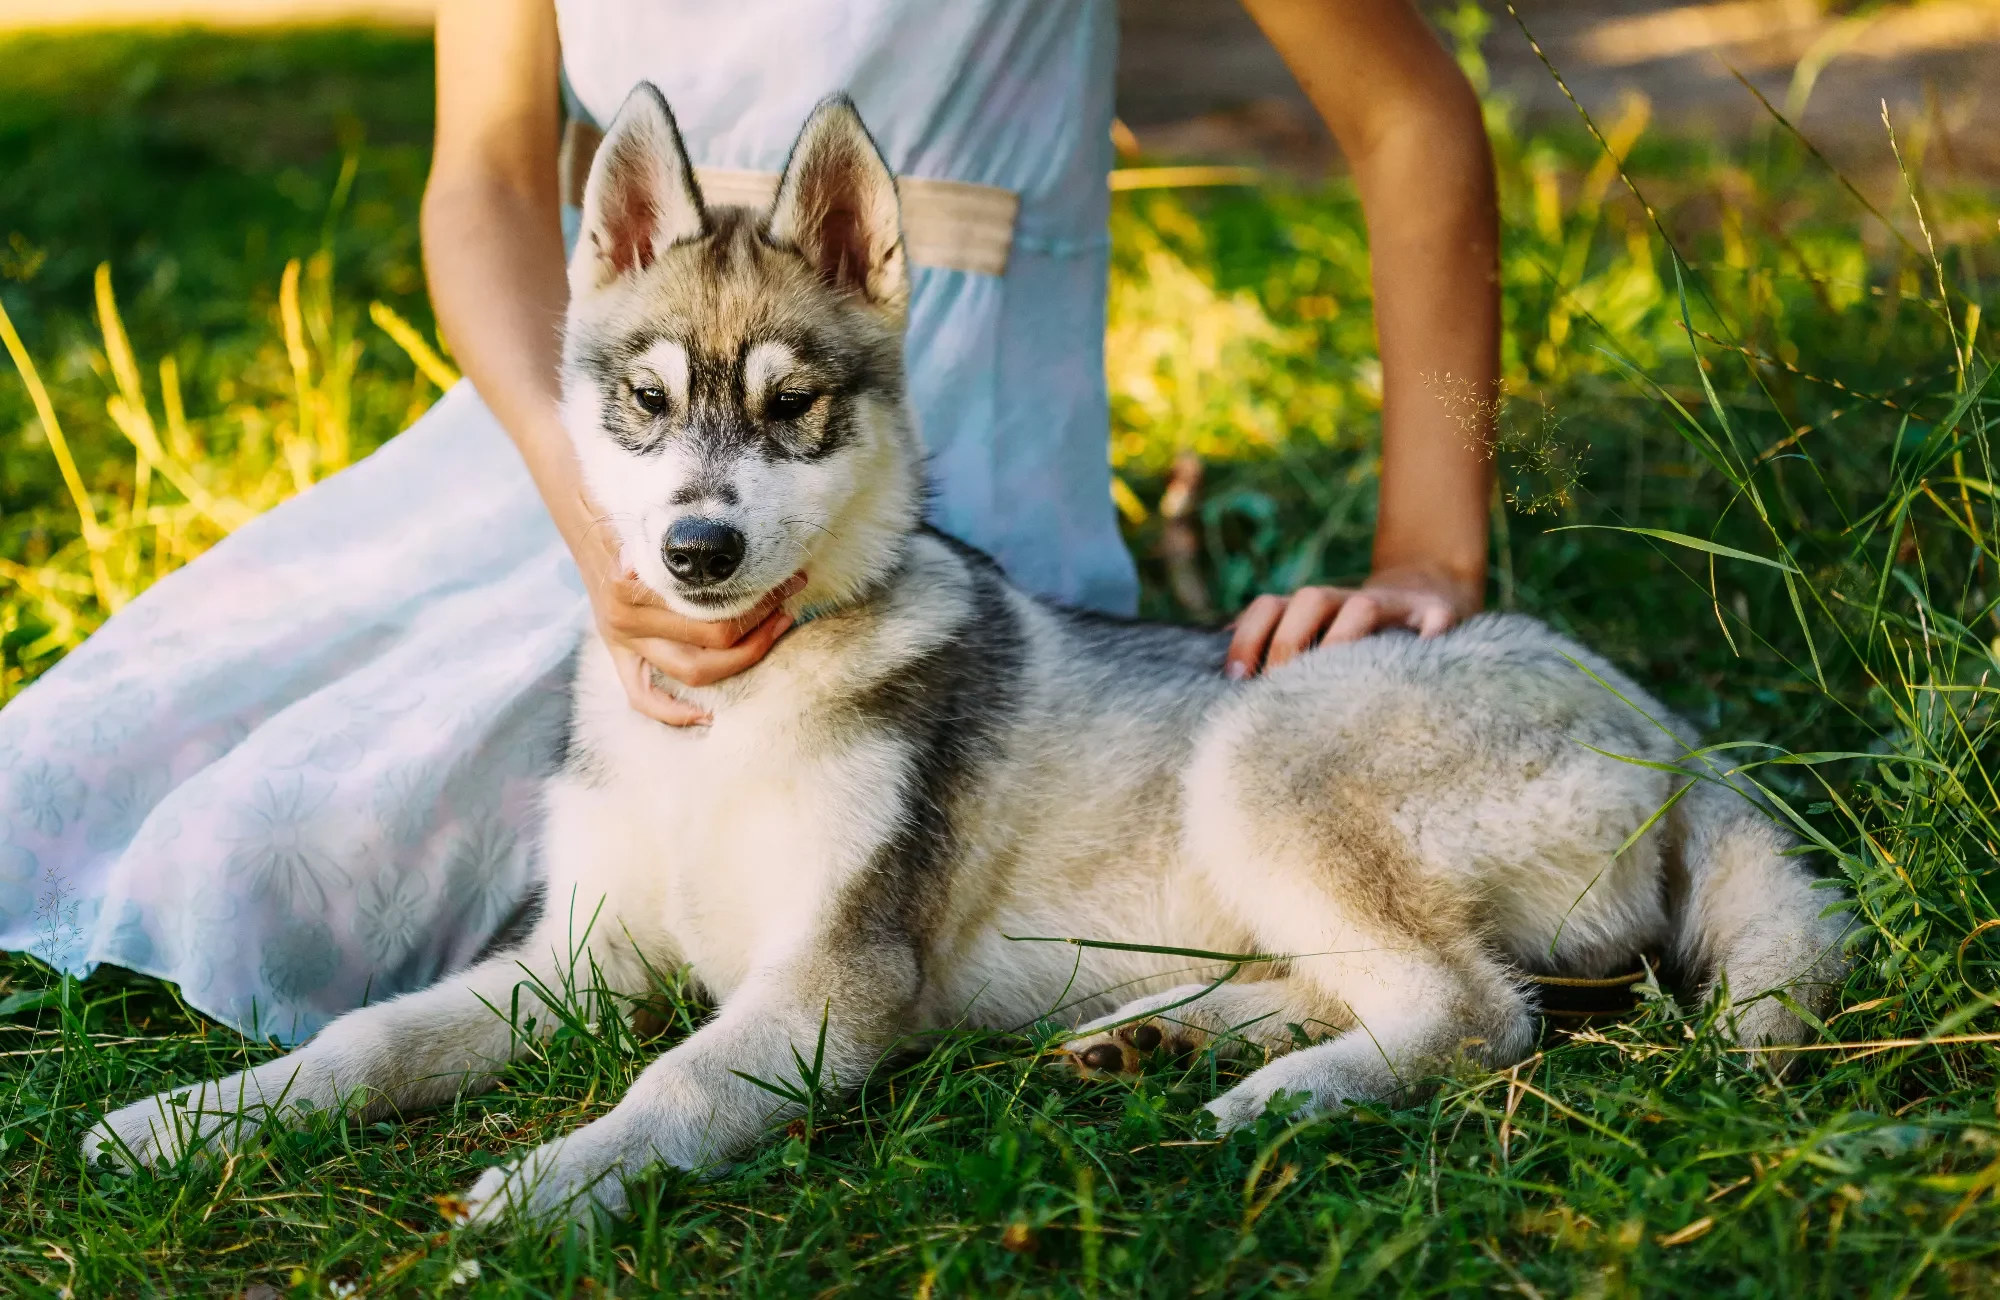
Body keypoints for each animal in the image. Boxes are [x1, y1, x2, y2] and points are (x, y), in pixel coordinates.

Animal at [86, 86, 1848, 1224]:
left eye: (794, 406)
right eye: (644, 403)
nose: (696, 553)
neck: (732, 721)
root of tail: (1674, 730)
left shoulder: (827, 988)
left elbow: (670, 1091)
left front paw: (553, 1180)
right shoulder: (574, 959)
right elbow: (369, 1037)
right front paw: (194, 1119)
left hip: (1265, 756)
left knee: (1475, 1013)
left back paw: (1267, 1096)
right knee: (1394, 982)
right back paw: (1165, 1034)